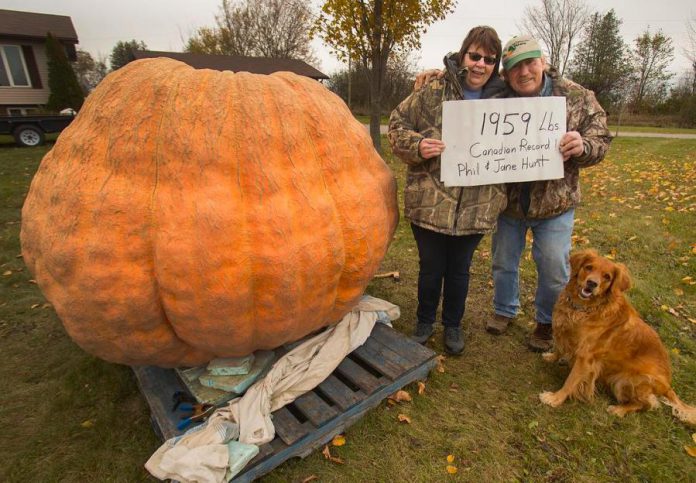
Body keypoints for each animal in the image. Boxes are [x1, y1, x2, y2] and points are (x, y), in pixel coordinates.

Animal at [540, 250, 696, 424]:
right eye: (589, 267)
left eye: (607, 277)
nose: (592, 283)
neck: (584, 309)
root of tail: (667, 386)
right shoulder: (566, 333)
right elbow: (559, 347)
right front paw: (551, 357)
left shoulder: (585, 358)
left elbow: (571, 381)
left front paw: (555, 398)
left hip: (626, 381)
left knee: (647, 404)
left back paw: (619, 410)